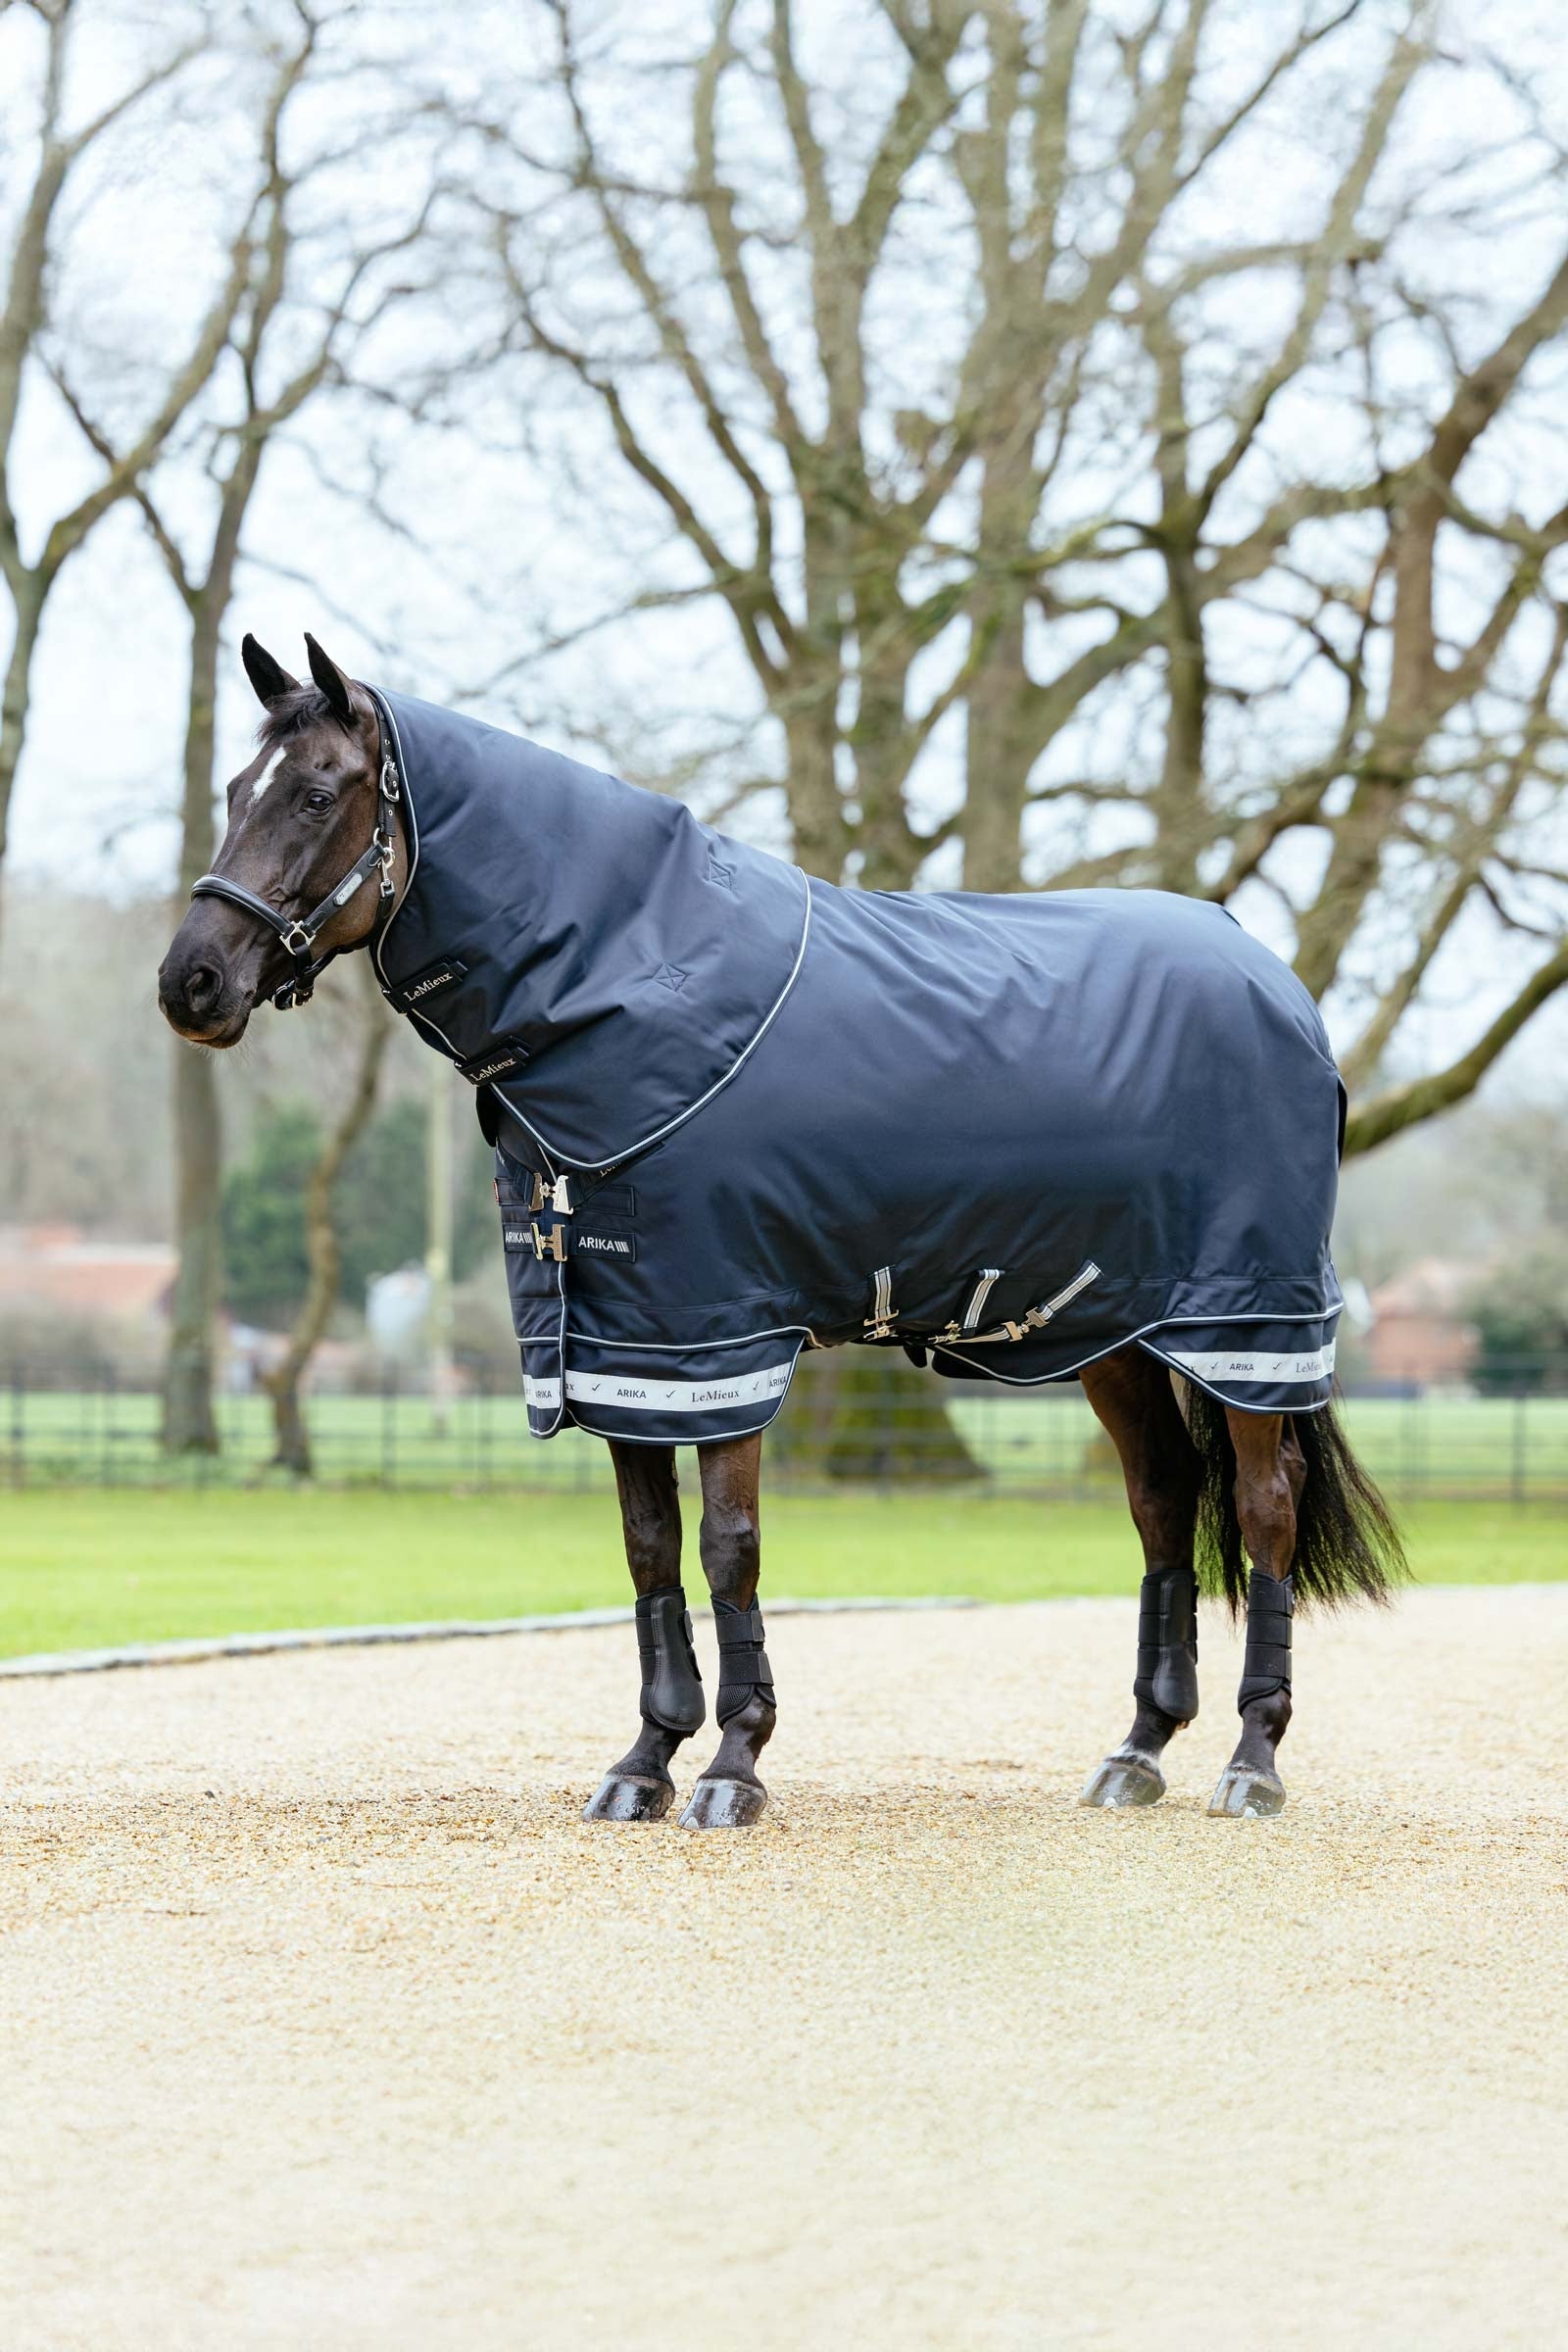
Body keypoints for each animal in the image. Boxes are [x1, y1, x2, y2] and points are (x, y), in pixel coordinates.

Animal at [158, 633, 1404, 1829]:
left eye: (316, 792)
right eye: (233, 788)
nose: (191, 983)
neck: (631, 979)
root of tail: (1274, 981)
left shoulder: (717, 1341)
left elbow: (728, 1547)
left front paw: (732, 1767)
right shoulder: (624, 1347)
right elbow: (649, 1550)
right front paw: (644, 1764)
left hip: (1246, 1323)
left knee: (1262, 1507)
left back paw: (1251, 1762)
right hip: (1116, 1336)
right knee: (1161, 1505)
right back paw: (1137, 1752)